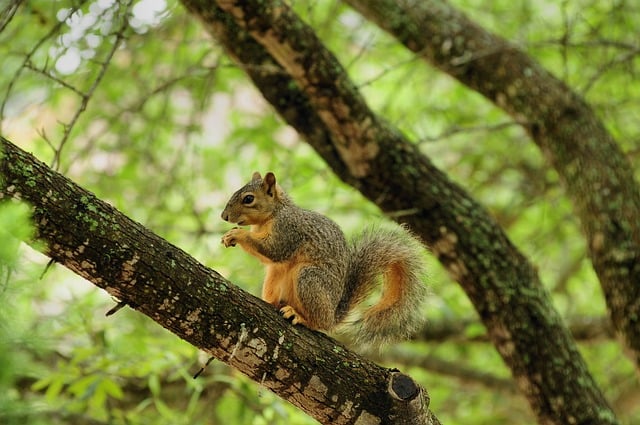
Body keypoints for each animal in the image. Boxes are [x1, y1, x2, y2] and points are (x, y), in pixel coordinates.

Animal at [221, 171, 427, 348]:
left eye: (248, 199)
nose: (224, 216)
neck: (274, 213)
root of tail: (333, 314)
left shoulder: (288, 230)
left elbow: (275, 250)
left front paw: (237, 234)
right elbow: (269, 259)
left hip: (310, 278)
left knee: (319, 322)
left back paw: (301, 317)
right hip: (274, 278)